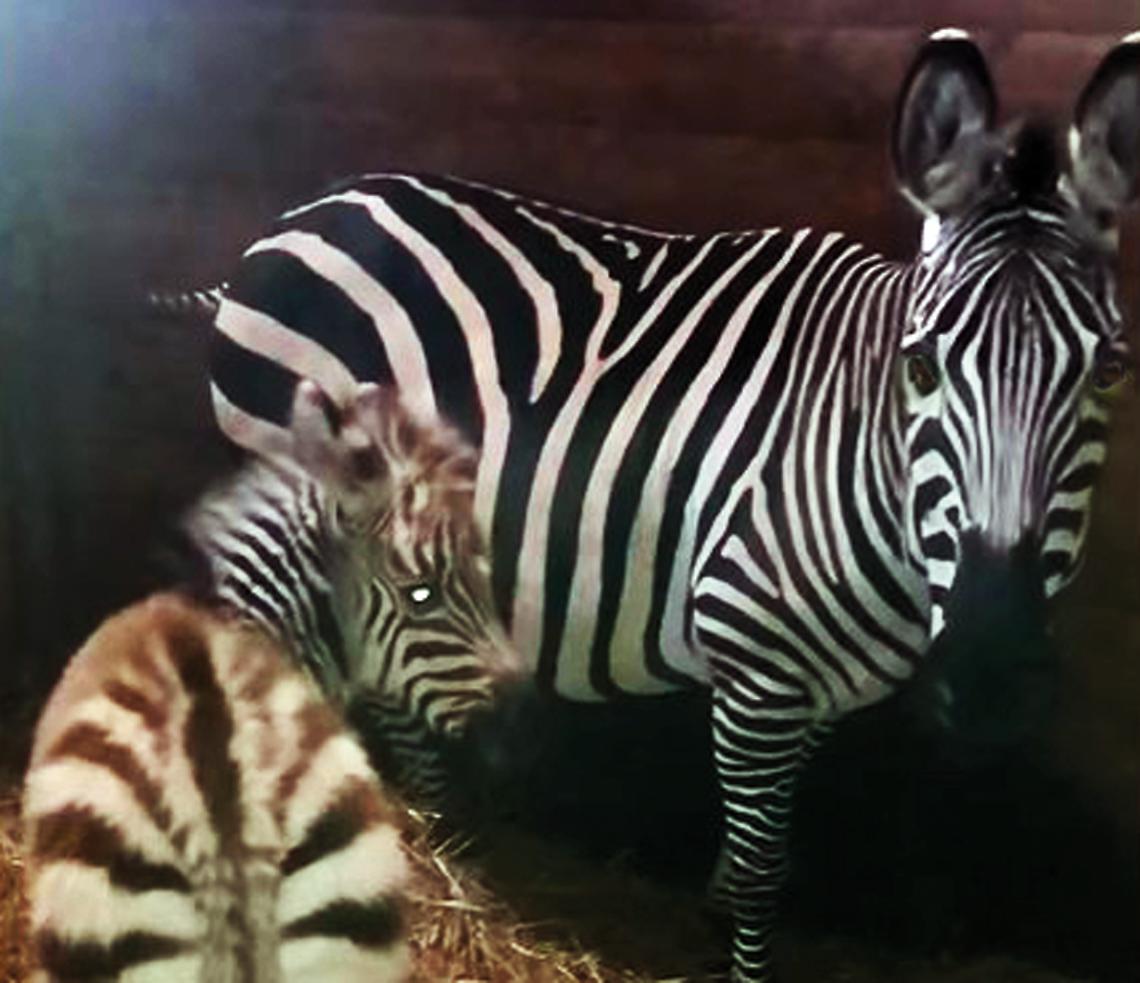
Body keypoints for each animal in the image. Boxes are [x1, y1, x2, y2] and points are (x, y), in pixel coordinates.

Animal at [200, 31, 1138, 982]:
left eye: (1108, 372)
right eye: (919, 367)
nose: (991, 683)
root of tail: (300, 215)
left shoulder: (816, 686)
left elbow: (758, 853)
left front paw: (710, 917)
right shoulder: (756, 667)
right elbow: (764, 868)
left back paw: (437, 831)